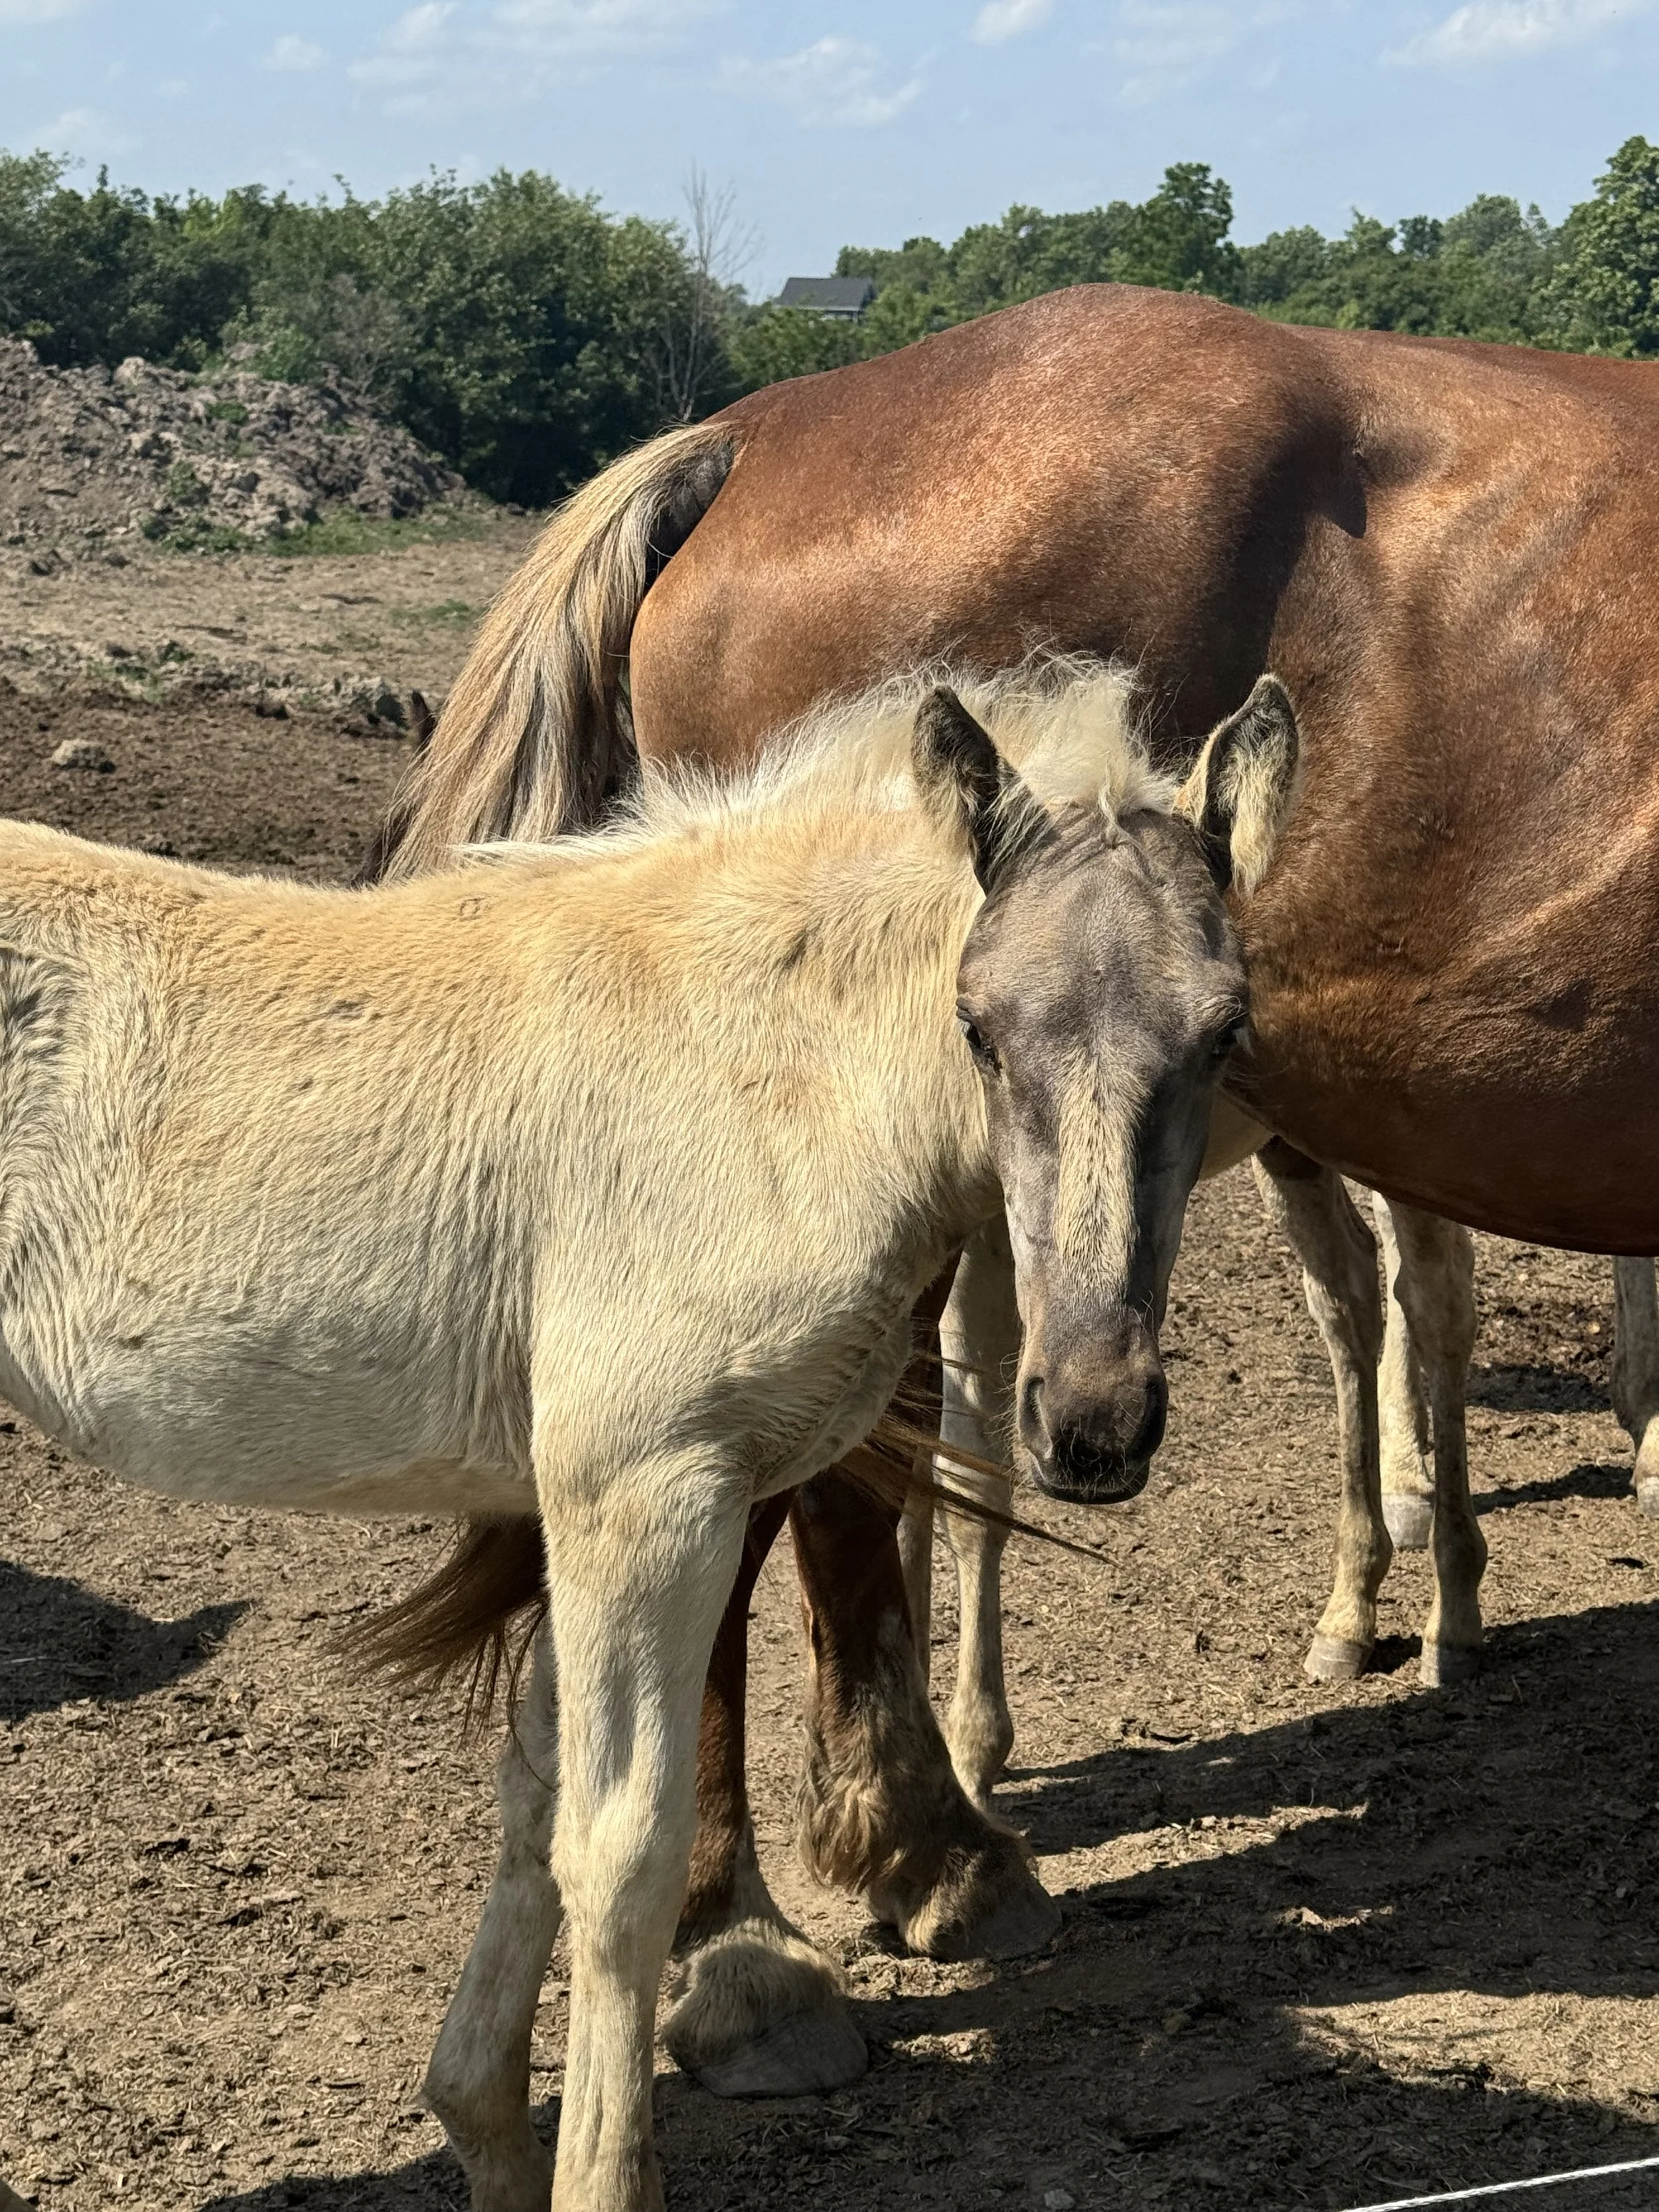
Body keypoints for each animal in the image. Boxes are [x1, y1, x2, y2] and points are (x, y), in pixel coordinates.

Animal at [0, 668, 1297, 2211]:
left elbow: (534, 1799)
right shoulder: (648, 1495)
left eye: (1225, 1030)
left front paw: (485, 2125)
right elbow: (621, 1853)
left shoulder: (603, 1503)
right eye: (976, 1023)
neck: (747, 1066)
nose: (1092, 1422)